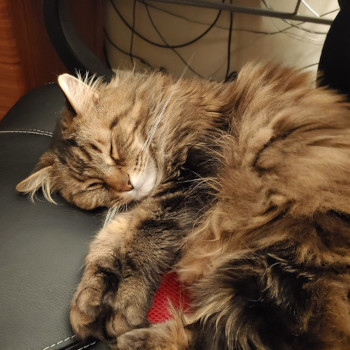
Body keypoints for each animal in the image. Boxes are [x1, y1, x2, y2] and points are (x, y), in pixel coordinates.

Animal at [15, 63, 350, 350]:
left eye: (111, 150)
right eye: (94, 185)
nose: (126, 185)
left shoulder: (190, 180)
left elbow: (144, 242)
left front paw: (125, 304)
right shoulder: (142, 208)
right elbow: (105, 246)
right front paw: (90, 301)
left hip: (271, 273)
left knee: (224, 338)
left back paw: (131, 339)